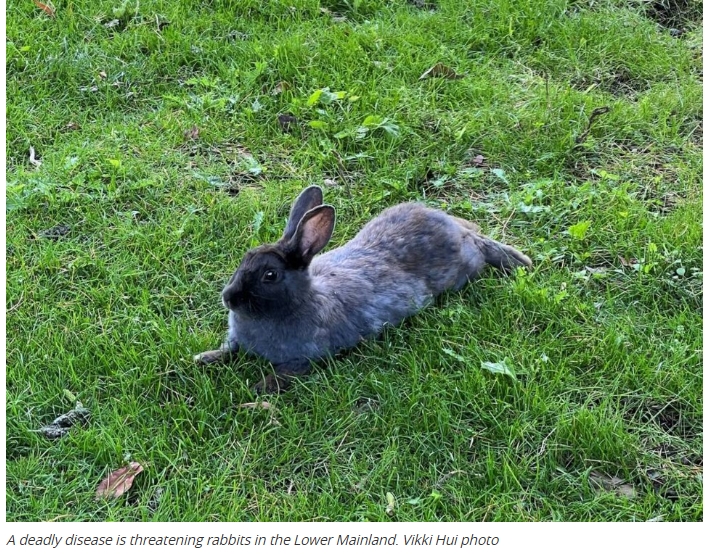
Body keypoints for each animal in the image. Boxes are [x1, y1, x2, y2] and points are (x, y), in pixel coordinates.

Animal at [194, 185, 532, 392]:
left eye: (270, 275)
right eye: (244, 259)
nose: (229, 298)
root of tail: (458, 233)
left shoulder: (304, 358)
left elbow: (286, 372)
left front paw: (260, 387)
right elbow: (229, 350)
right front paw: (204, 358)